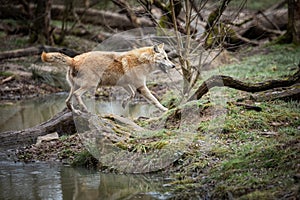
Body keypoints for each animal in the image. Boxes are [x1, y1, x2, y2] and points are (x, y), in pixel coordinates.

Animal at [41, 43, 175, 113]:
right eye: (165, 58)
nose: (174, 66)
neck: (141, 61)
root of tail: (74, 59)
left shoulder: (126, 85)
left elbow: (132, 95)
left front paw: (124, 104)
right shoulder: (141, 86)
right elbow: (155, 100)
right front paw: (165, 109)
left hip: (74, 87)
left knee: (67, 101)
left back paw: (76, 111)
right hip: (90, 85)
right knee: (77, 95)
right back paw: (85, 109)